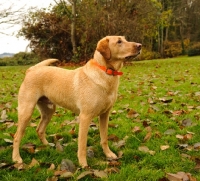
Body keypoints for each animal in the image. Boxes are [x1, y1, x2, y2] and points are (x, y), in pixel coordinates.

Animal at [12, 36, 141, 168]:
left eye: (125, 39)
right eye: (119, 41)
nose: (140, 45)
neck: (106, 72)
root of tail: (31, 70)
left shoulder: (105, 115)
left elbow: (104, 138)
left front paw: (108, 154)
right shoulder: (85, 117)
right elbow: (82, 144)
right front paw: (83, 164)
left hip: (49, 111)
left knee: (40, 129)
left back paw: (48, 146)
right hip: (26, 111)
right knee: (17, 136)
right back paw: (16, 158)